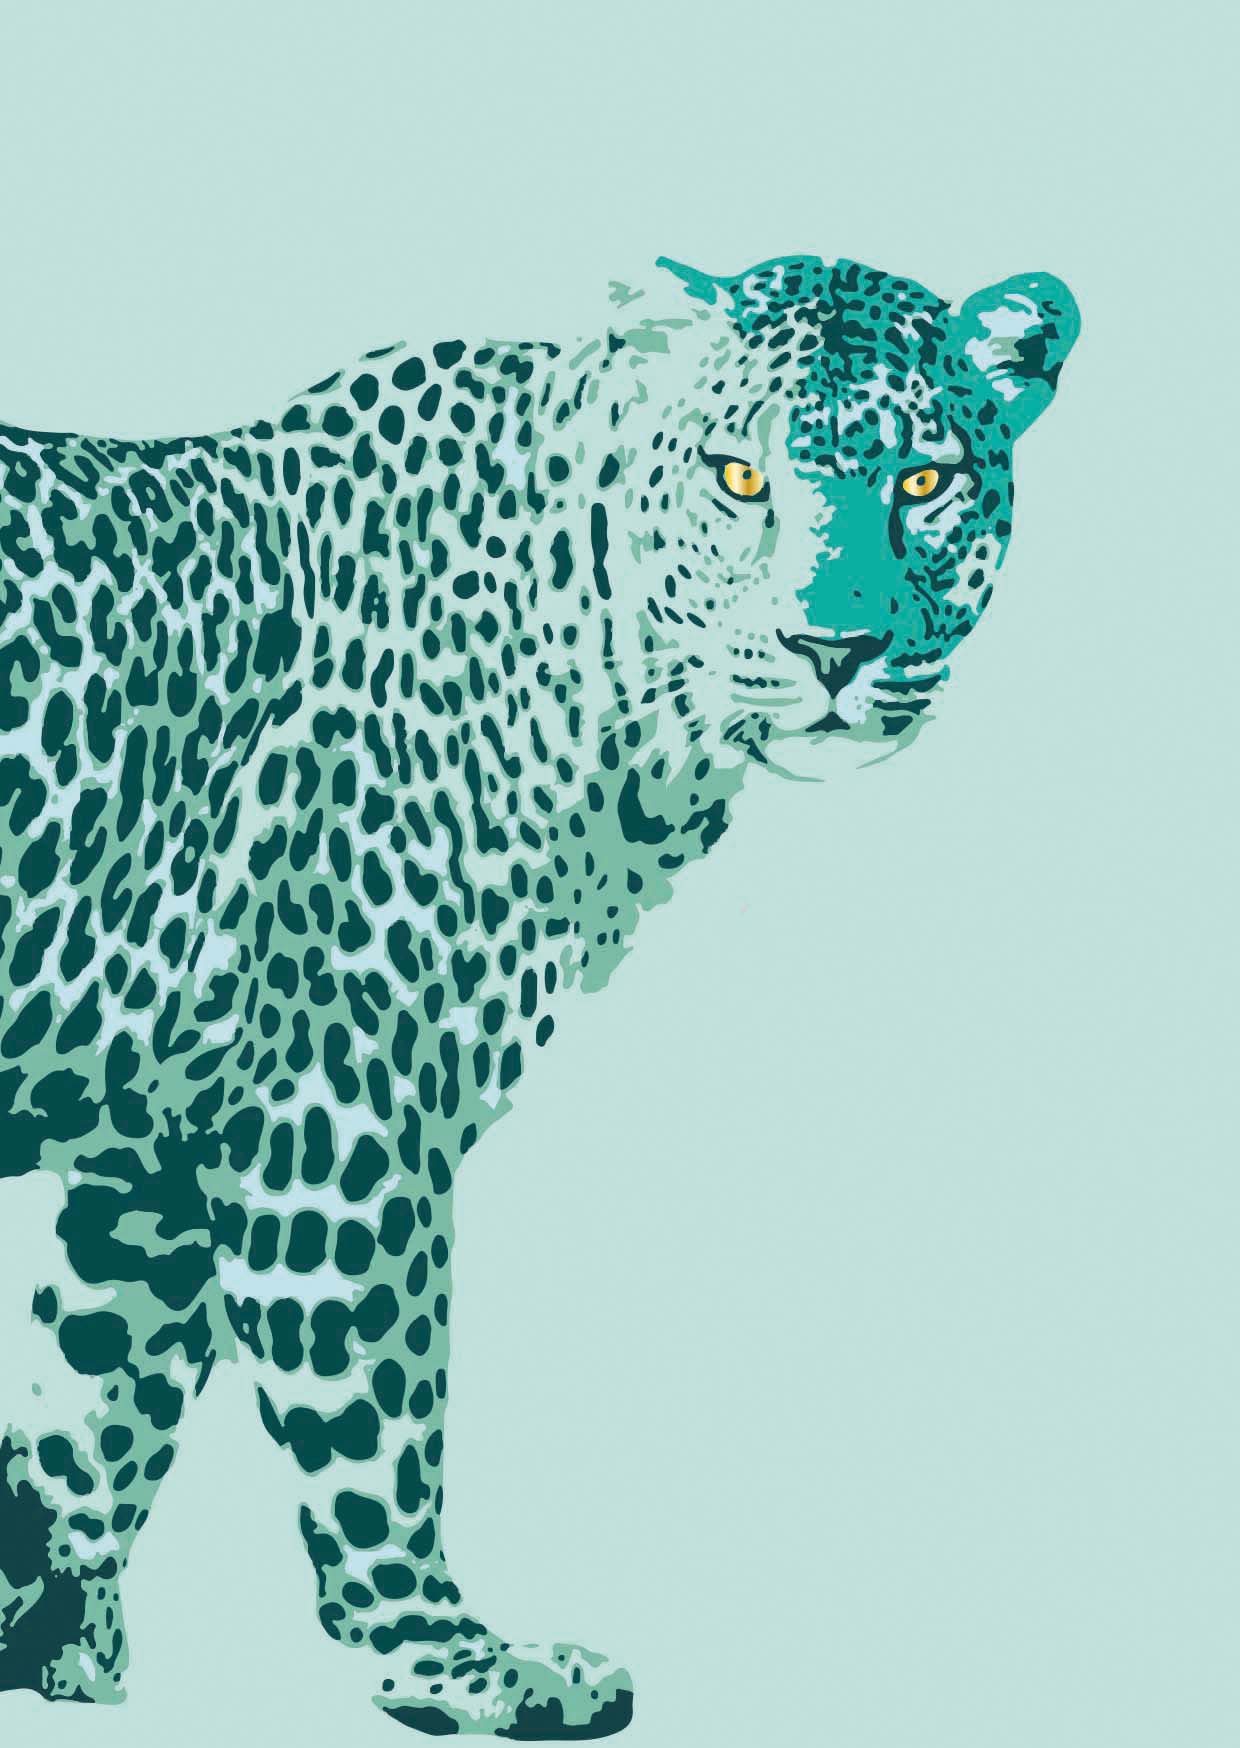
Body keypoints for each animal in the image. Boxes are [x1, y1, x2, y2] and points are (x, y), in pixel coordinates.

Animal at [0, 253, 1078, 1737]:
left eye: (923, 481)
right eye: (739, 479)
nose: (834, 647)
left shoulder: (152, 1150)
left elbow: (94, 1393)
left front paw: (49, 1628)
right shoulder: (340, 1117)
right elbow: (379, 1420)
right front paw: (455, 1663)